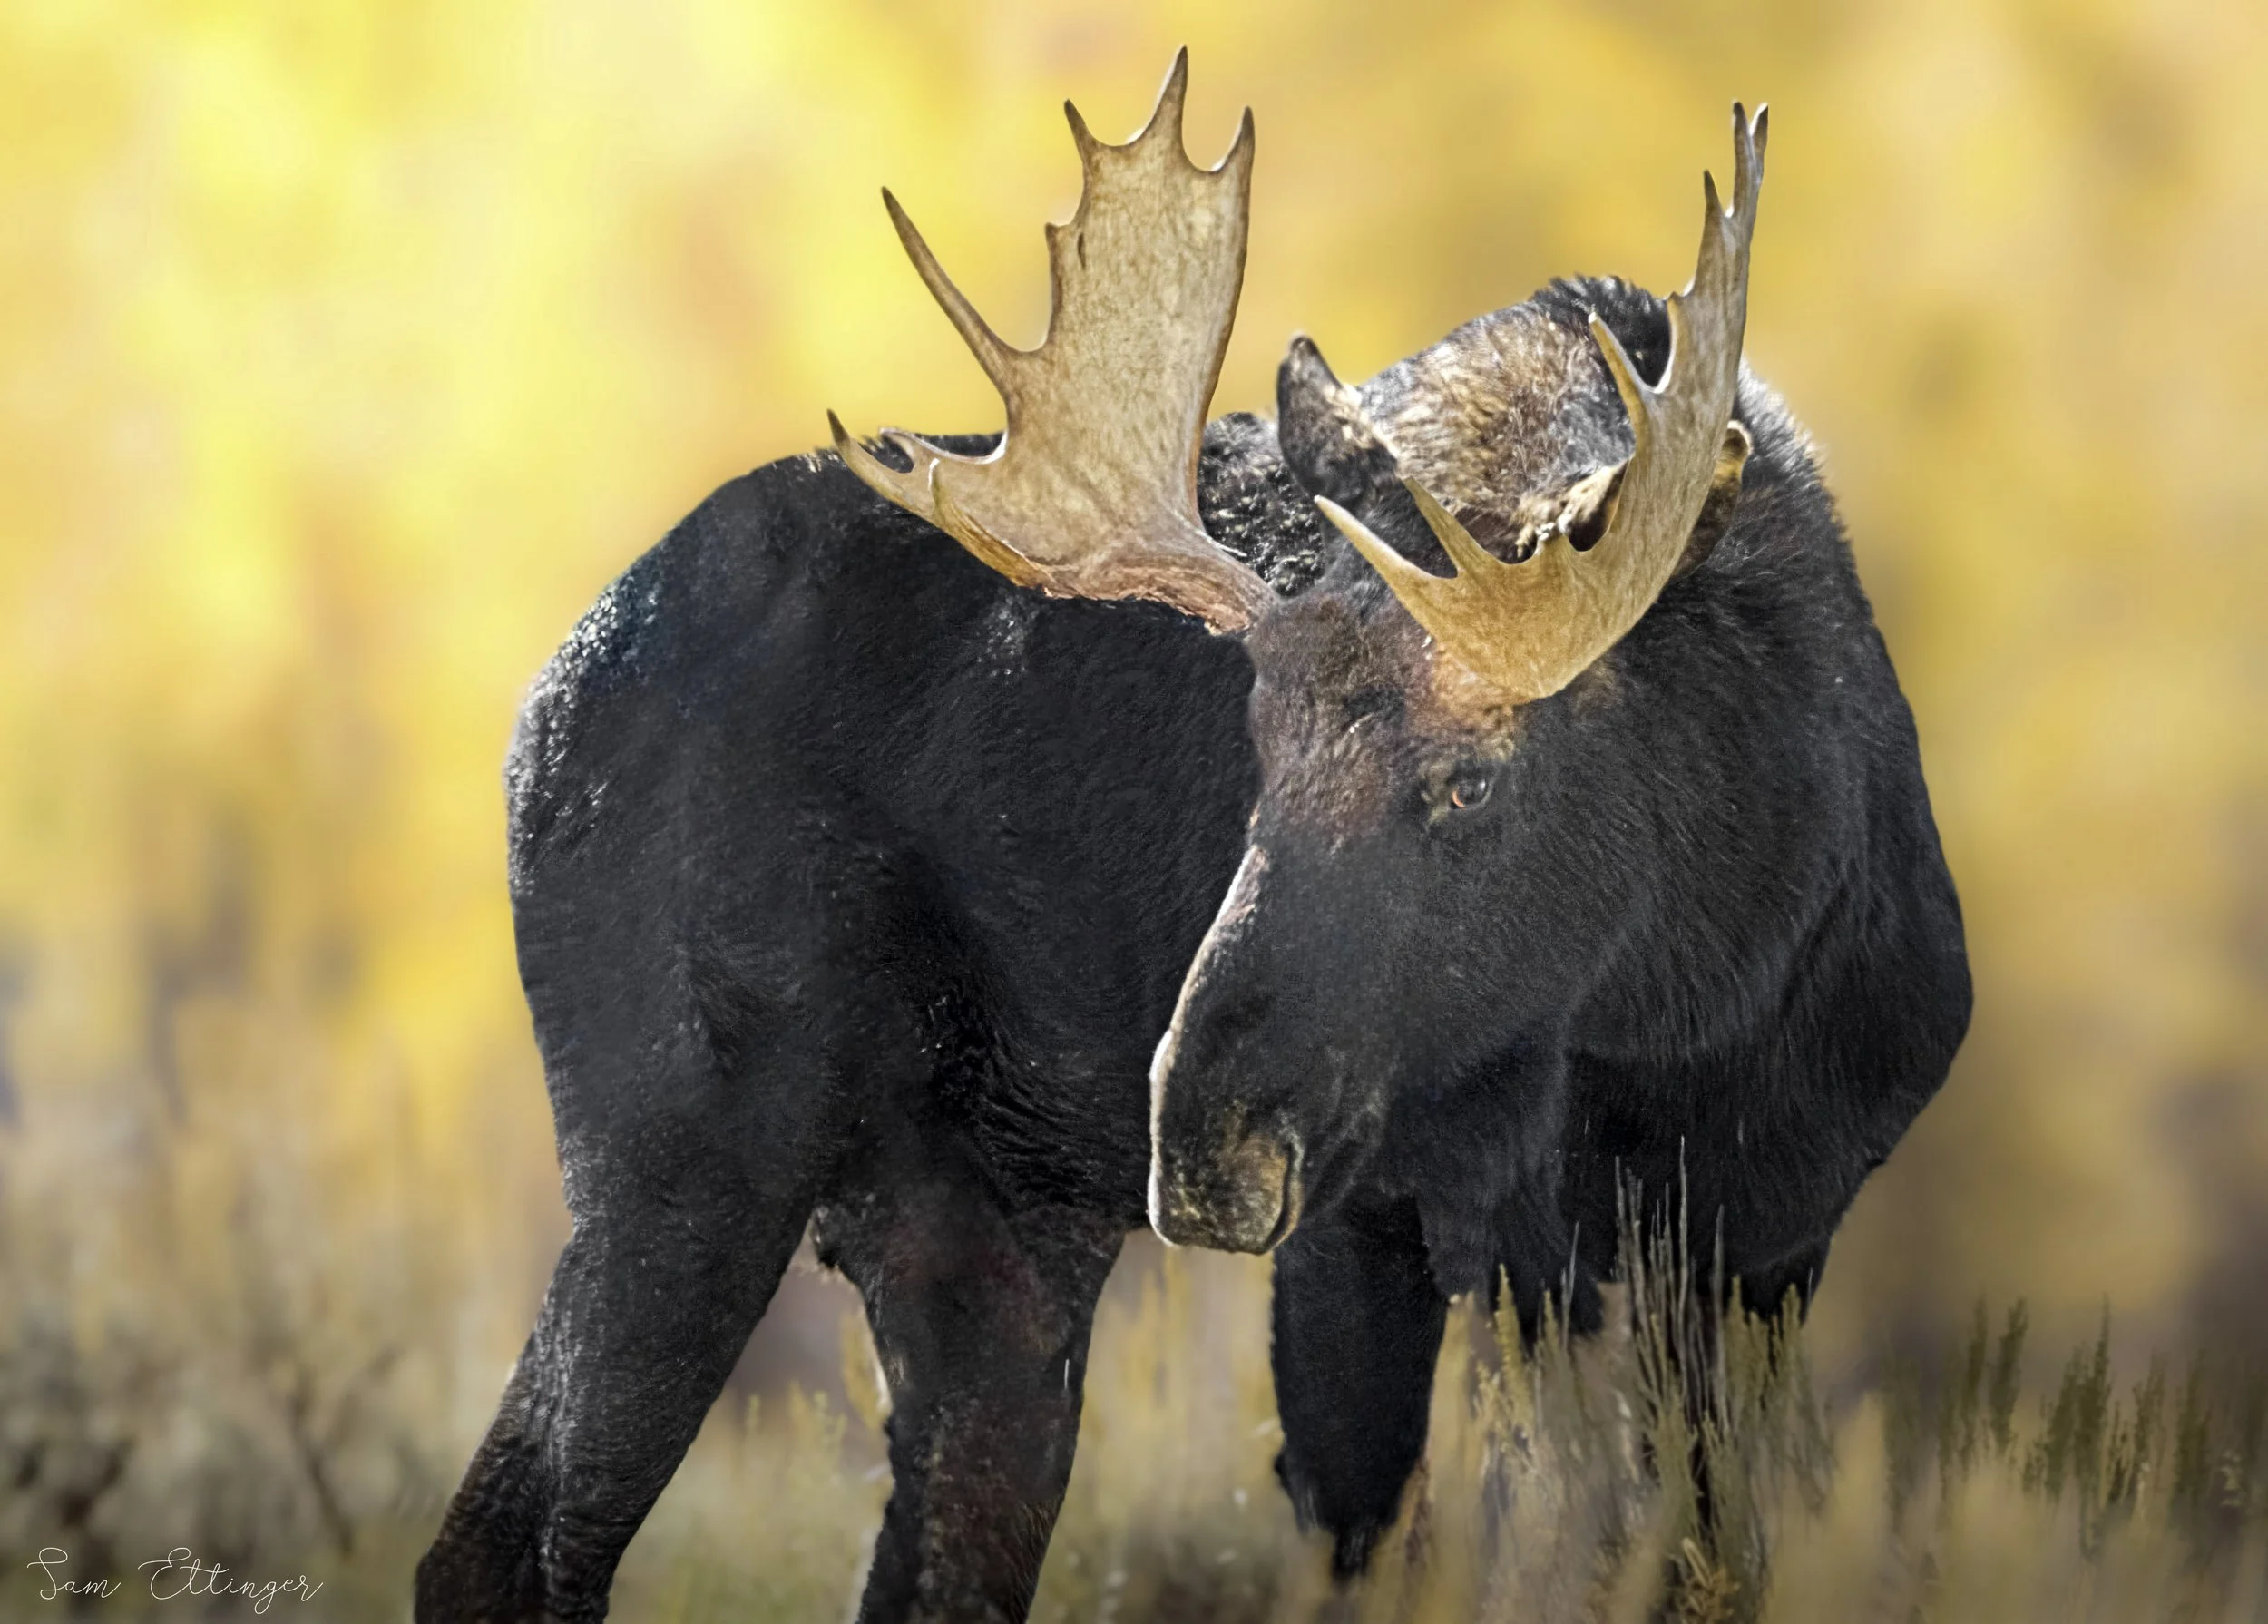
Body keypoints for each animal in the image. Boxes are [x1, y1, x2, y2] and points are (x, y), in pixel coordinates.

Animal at [414, 53, 1970, 1624]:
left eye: (1471, 786)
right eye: (1258, 754)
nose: (1207, 1138)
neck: (1705, 997)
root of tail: (538, 706)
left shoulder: (1767, 1245)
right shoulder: (1381, 1231)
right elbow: (1376, 1534)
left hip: (987, 1232)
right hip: (686, 1148)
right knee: (508, 1538)